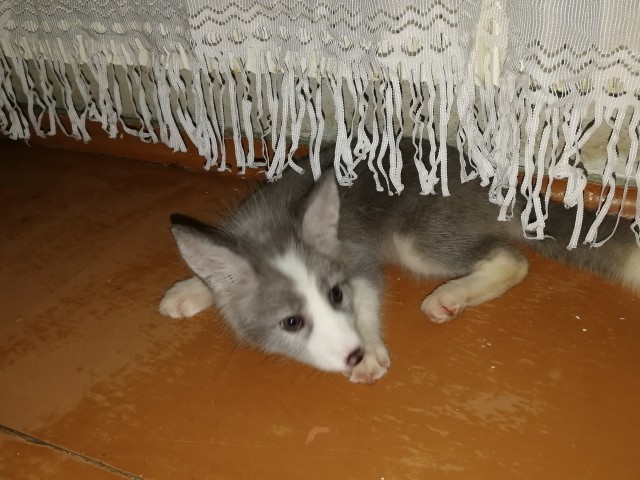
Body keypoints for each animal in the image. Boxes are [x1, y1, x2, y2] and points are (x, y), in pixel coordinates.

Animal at [159, 139, 640, 384]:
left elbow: (368, 296)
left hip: (417, 240)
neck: (273, 222)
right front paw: (192, 288)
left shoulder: (356, 255)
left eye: (337, 296)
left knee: (512, 259)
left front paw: (369, 348)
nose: (353, 354)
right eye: (292, 323)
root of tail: (503, 186)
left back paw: (451, 295)